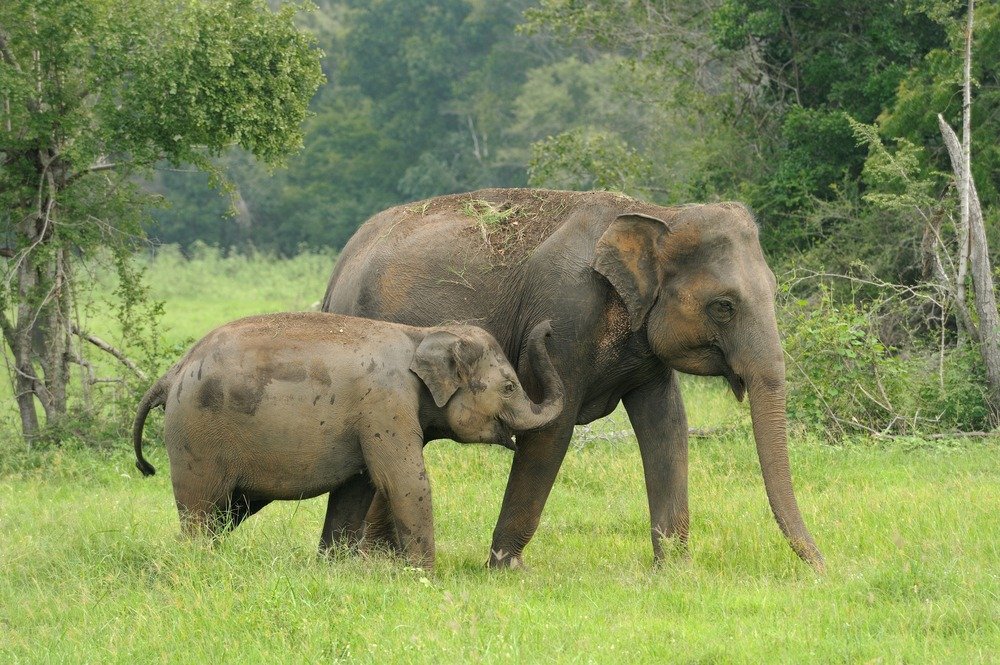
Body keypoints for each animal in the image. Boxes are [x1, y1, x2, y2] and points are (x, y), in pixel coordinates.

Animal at [132, 312, 564, 564]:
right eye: (509, 387)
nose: (549, 327)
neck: (421, 335)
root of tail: (172, 372)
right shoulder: (386, 403)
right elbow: (404, 481)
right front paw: (425, 576)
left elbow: (357, 487)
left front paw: (332, 567)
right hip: (197, 435)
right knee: (203, 508)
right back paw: (198, 563)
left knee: (224, 512)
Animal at [324, 188, 824, 572]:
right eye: (724, 306)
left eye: (774, 292)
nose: (822, 570)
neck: (659, 212)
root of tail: (339, 265)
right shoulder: (567, 312)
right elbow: (552, 430)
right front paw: (507, 570)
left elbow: (667, 425)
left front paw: (676, 571)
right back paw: (375, 562)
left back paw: (380, 560)